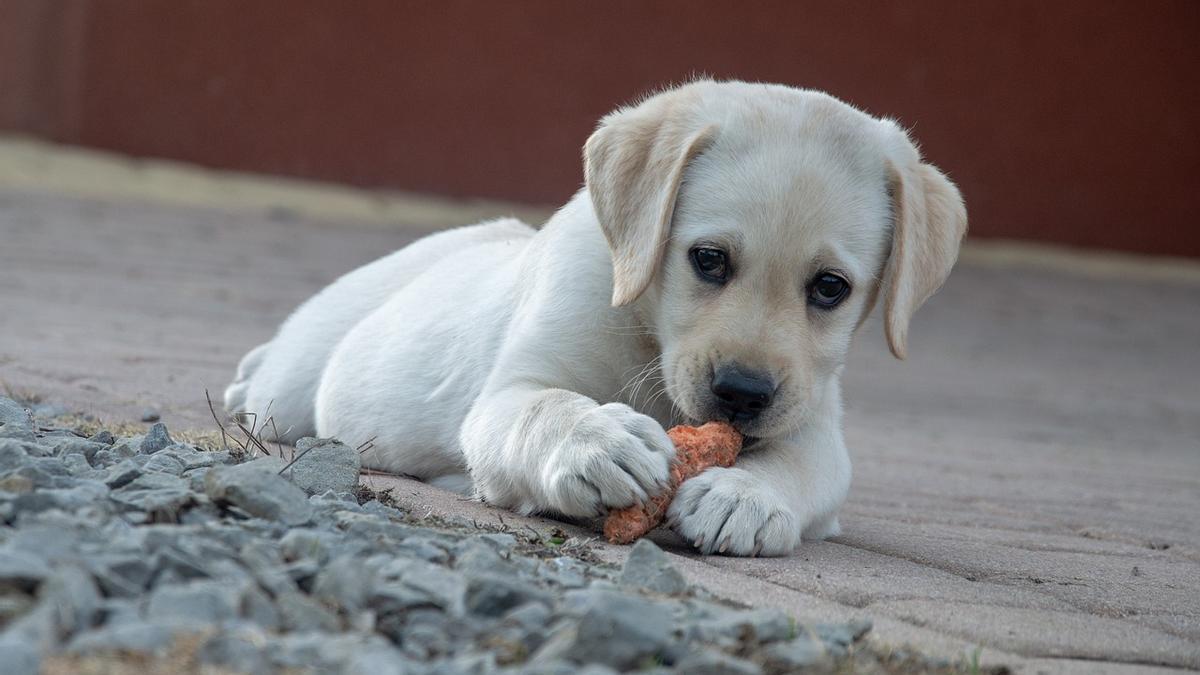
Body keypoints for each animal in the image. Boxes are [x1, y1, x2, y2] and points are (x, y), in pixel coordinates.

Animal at [229, 78, 969, 554]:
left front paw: (746, 496)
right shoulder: (508, 394)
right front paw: (597, 442)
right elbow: (544, 407)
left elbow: (803, 465)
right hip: (295, 384)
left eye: (829, 288)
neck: (647, 334)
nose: (742, 393)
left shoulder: (815, 420)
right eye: (708, 259)